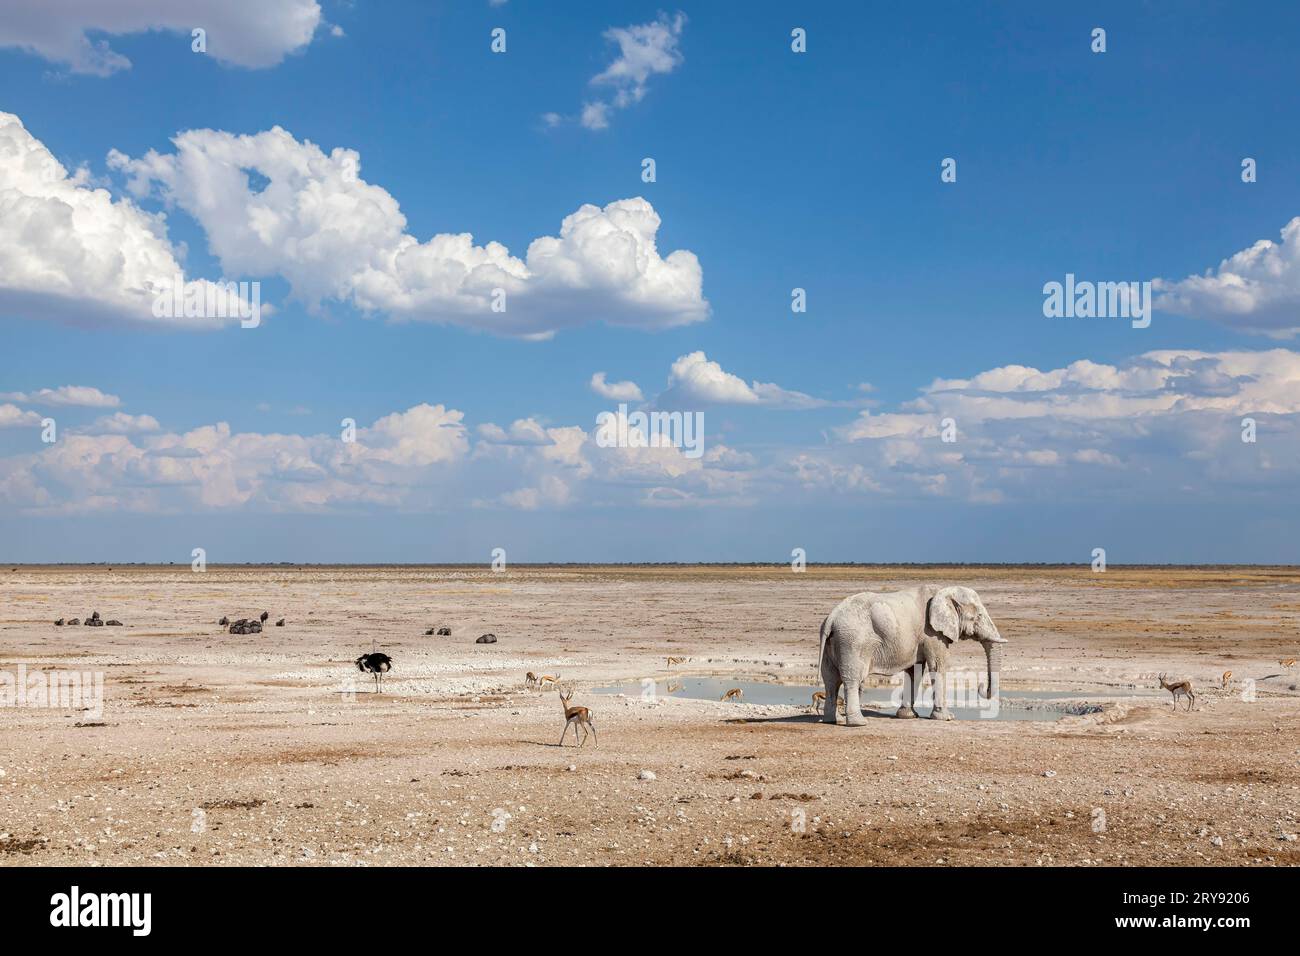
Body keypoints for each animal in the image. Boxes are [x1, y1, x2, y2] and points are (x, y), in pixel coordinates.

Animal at [816, 582, 1008, 723]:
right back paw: (858, 722)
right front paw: (946, 718)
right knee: (851, 678)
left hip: (835, 642)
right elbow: (938, 665)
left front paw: (907, 716)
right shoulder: (932, 633)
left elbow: (915, 670)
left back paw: (833, 720)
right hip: (853, 641)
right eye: (979, 616)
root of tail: (831, 618)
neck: (944, 591)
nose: (981, 686)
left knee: (831, 679)